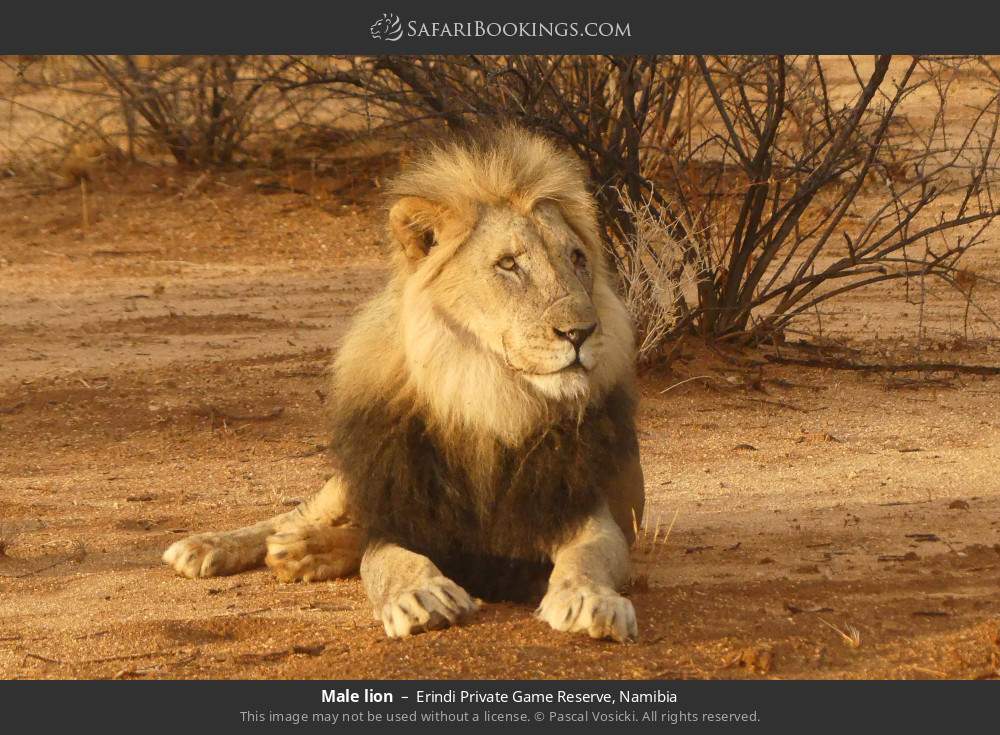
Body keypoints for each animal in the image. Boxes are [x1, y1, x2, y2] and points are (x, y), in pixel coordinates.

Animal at [162, 128, 648, 644]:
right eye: (508, 264)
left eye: (577, 259)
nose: (581, 332)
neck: (492, 400)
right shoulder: (402, 508)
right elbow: (388, 562)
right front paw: (420, 597)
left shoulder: (585, 510)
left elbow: (588, 558)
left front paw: (589, 600)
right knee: (296, 514)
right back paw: (213, 546)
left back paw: (302, 551)